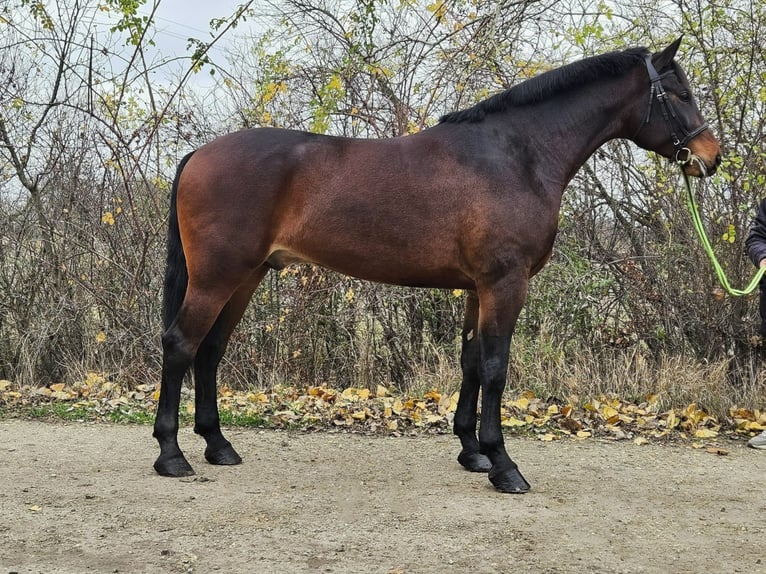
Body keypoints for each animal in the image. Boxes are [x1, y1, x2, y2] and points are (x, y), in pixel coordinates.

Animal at [153, 37, 720, 493]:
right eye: (681, 94)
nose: (710, 158)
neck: (516, 156)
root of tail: (200, 154)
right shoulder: (505, 284)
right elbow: (495, 367)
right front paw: (504, 465)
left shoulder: (477, 288)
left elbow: (470, 362)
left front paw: (472, 452)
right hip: (218, 276)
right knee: (182, 344)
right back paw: (172, 455)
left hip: (246, 276)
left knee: (210, 350)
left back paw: (218, 446)